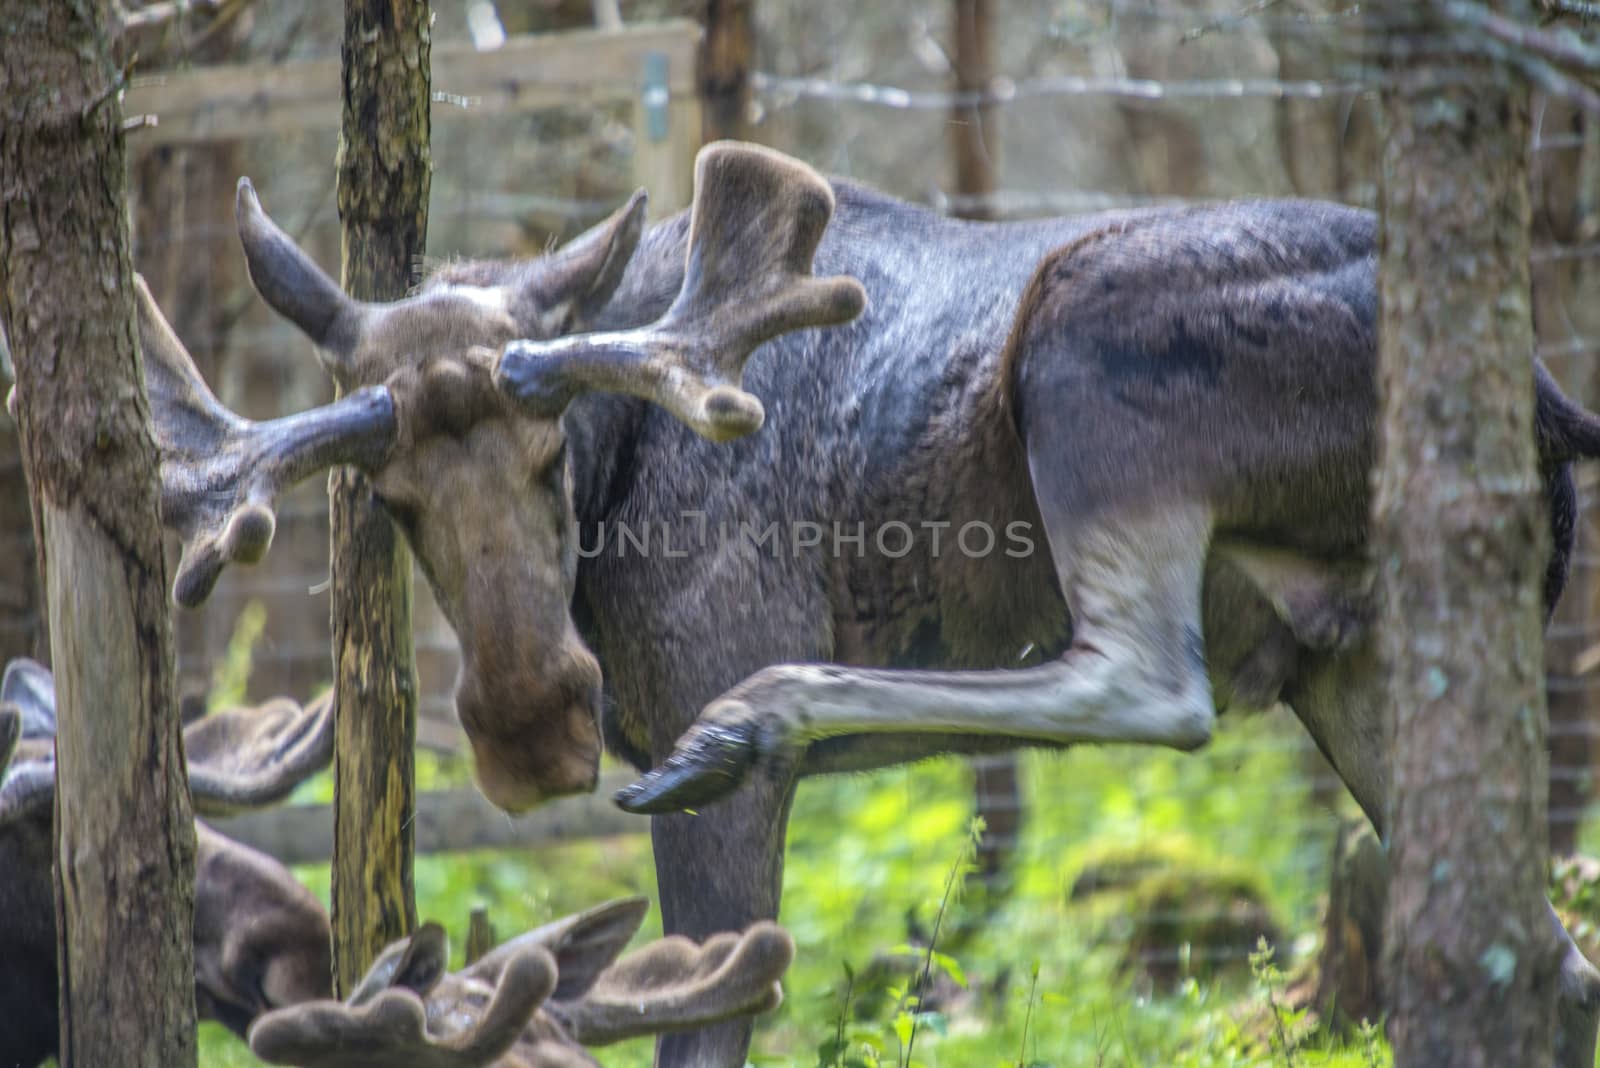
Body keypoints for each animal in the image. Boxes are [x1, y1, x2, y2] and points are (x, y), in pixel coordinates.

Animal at [106, 143, 1600, 1068]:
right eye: (393, 496)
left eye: (547, 455)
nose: (534, 730)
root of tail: (1543, 388)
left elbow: (706, 1020)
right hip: (1361, 650)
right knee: (1544, 950)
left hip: (1088, 364)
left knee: (1145, 680)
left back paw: (762, 714)